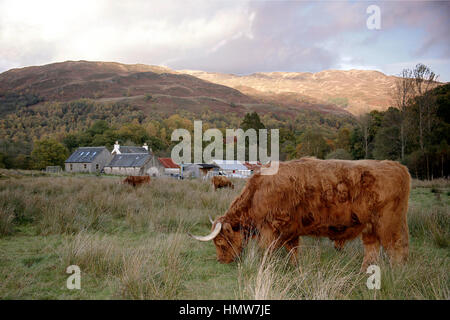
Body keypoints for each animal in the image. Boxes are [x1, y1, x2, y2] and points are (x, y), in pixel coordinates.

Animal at [190, 158, 412, 270]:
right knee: (372, 249)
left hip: (389, 224)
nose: (222, 261)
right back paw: (365, 272)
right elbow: (293, 251)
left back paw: (396, 274)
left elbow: (265, 252)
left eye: (220, 242)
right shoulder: (291, 231)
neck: (258, 191)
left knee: (397, 249)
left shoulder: (270, 229)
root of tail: (397, 165)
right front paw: (294, 268)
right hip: (370, 227)